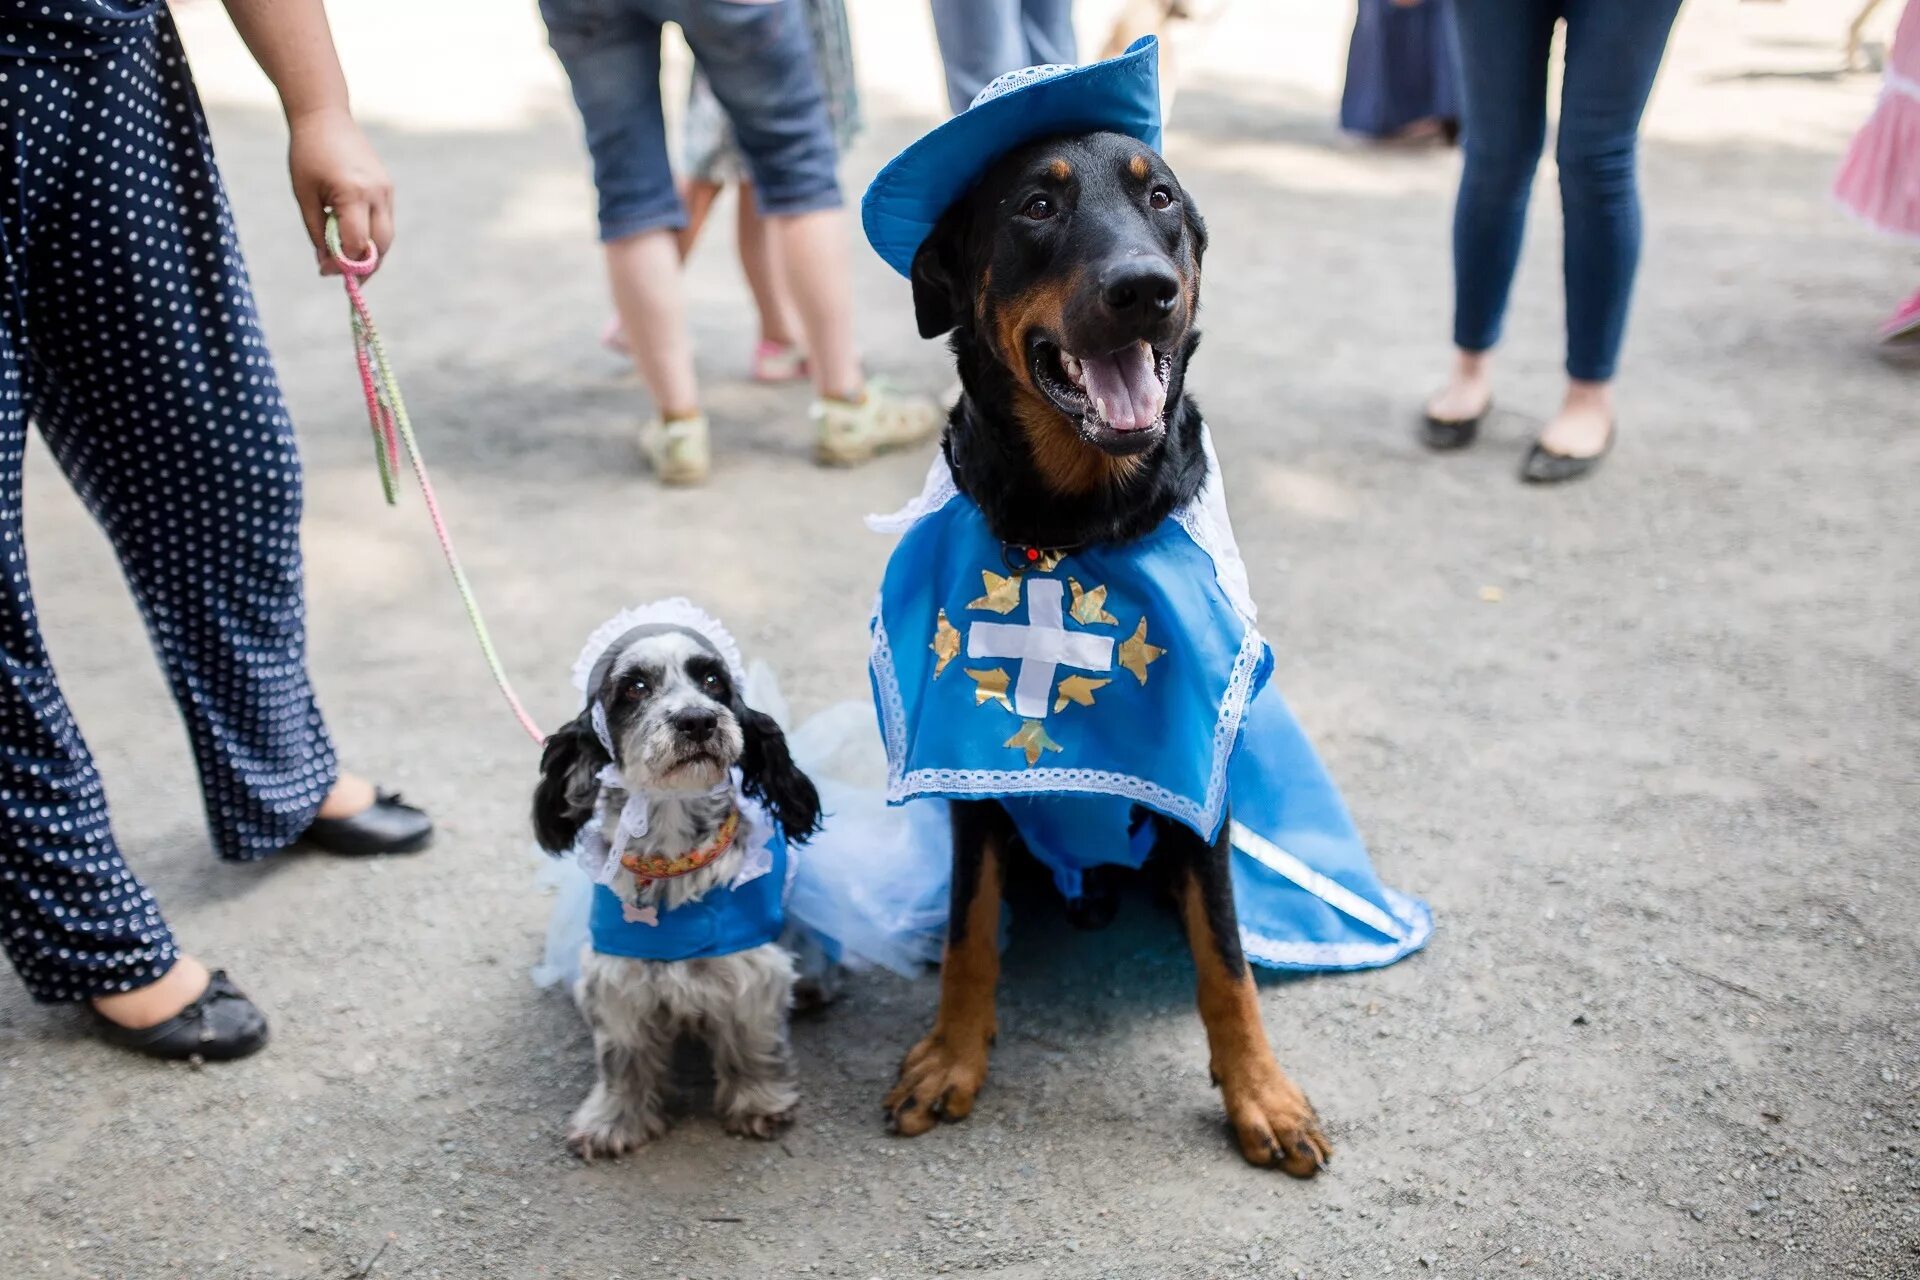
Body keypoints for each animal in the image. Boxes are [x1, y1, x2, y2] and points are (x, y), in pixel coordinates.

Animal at [529, 606, 821, 1159]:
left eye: (712, 681)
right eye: (635, 687)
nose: (698, 720)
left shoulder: (751, 969)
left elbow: (753, 1043)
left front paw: (759, 1103)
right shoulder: (616, 977)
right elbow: (621, 1059)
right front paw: (613, 1121)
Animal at [883, 135, 1336, 1174]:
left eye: (1159, 195)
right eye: (1036, 204)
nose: (1144, 290)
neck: (1075, 526)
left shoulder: (1198, 789)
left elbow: (1227, 959)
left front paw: (1260, 1093)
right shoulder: (973, 791)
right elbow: (970, 933)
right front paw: (952, 1055)